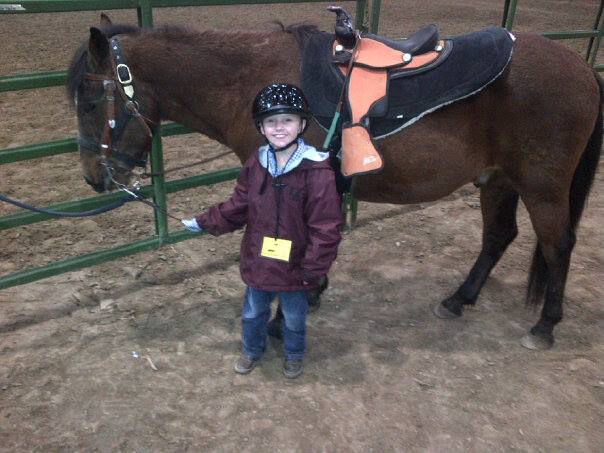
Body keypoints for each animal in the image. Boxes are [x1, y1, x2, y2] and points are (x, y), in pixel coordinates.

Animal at [67, 13, 600, 346]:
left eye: (90, 102)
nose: (94, 178)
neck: (255, 83)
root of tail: (582, 68)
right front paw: (313, 292)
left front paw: (283, 318)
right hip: (498, 180)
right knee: (498, 236)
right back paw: (458, 299)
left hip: (542, 187)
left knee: (557, 245)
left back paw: (545, 326)